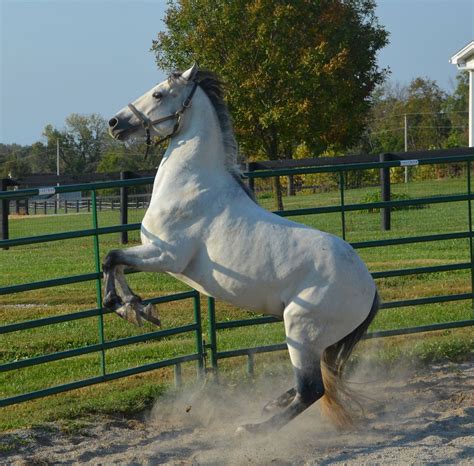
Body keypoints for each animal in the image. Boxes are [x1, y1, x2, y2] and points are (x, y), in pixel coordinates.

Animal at [105, 62, 380, 434]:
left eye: (159, 94)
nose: (115, 123)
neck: (193, 184)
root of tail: (370, 288)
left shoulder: (167, 256)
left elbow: (110, 259)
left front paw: (126, 308)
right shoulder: (154, 253)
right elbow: (117, 264)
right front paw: (137, 308)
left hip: (300, 329)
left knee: (311, 390)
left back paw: (254, 428)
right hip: (316, 340)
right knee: (311, 384)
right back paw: (268, 406)